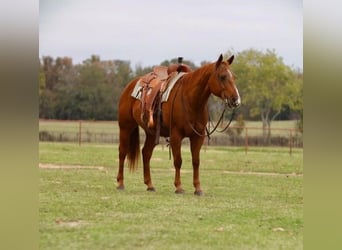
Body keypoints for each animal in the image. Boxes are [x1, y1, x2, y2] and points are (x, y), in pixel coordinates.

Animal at [116, 54, 239, 195]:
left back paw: (150, 185)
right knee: (122, 152)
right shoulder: (176, 136)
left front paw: (198, 188)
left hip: (151, 133)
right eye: (222, 76)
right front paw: (179, 187)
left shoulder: (198, 137)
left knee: (146, 153)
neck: (190, 100)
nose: (236, 99)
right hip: (125, 127)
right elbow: (178, 161)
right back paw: (120, 183)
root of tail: (130, 86)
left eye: (234, 76)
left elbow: (196, 161)